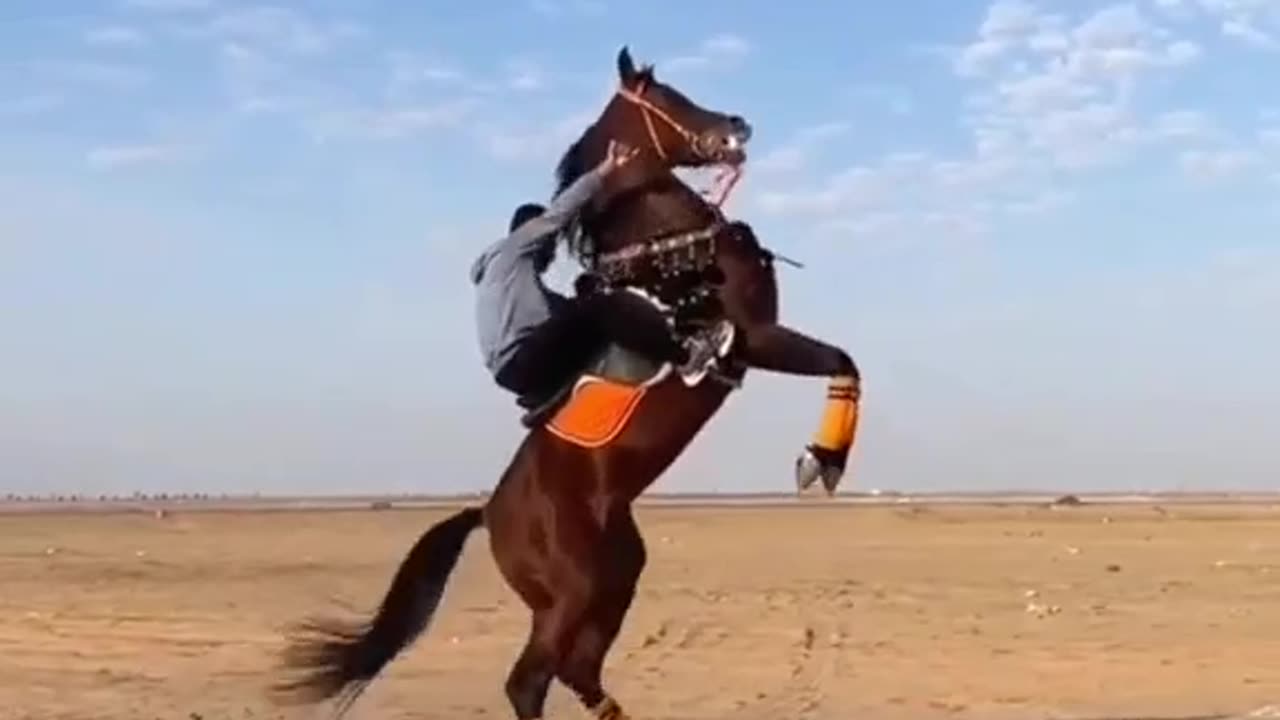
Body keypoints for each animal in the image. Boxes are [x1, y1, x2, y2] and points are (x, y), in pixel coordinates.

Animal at [271, 47, 861, 720]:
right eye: (668, 96)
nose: (738, 125)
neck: (669, 251)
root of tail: (487, 515)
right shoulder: (756, 339)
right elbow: (843, 361)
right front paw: (821, 461)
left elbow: (846, 362)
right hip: (573, 590)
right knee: (529, 680)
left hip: (614, 575)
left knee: (579, 670)